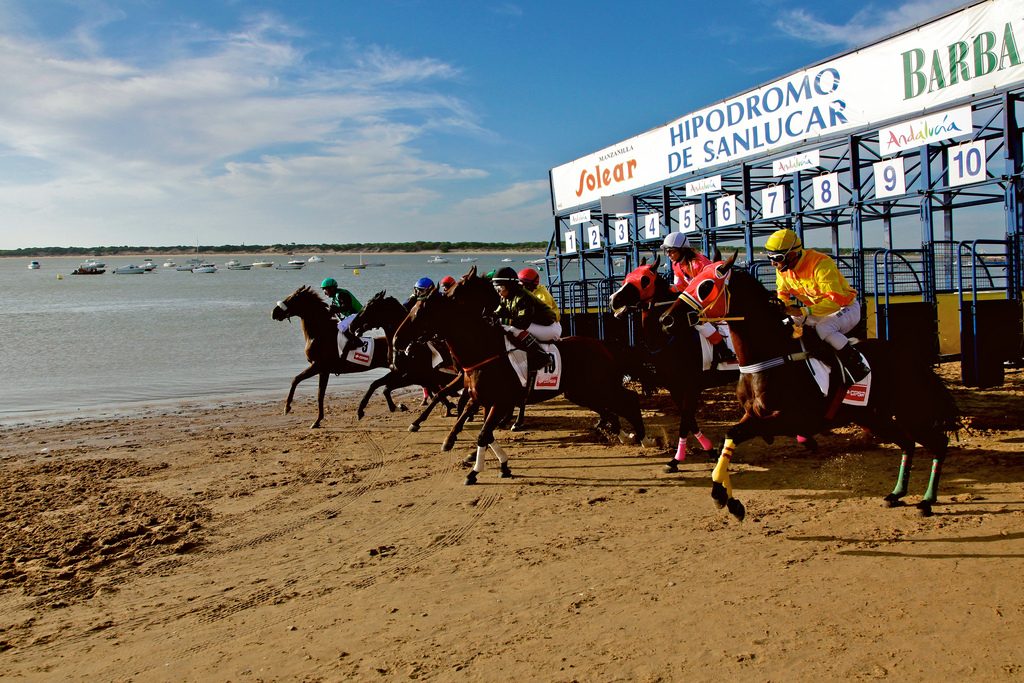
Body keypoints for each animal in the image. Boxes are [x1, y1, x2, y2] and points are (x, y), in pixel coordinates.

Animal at [346, 290, 462, 419]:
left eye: (368, 307)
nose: (351, 326)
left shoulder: (411, 376)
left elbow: (386, 388)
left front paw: (397, 407)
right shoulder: (398, 372)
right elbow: (376, 384)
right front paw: (361, 410)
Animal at [393, 274, 643, 483]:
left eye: (421, 312)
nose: (396, 339)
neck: (485, 350)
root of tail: (604, 346)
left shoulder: (501, 401)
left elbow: (483, 433)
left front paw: (475, 471)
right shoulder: (481, 398)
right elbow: (482, 429)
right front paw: (497, 463)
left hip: (598, 385)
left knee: (628, 399)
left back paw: (640, 436)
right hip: (582, 392)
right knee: (610, 409)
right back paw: (621, 433)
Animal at [610, 253, 741, 473]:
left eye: (644, 279)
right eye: (627, 276)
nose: (613, 299)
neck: (671, 339)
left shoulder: (691, 386)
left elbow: (685, 422)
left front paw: (676, 460)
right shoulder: (675, 387)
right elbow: (690, 422)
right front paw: (710, 451)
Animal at [663, 254, 958, 518]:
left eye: (705, 285)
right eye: (690, 280)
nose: (666, 319)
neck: (772, 357)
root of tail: (912, 359)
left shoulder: (793, 419)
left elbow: (734, 432)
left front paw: (725, 496)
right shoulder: (753, 415)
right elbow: (730, 434)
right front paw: (726, 497)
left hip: (911, 411)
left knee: (939, 443)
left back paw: (927, 501)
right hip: (876, 416)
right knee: (908, 444)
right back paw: (896, 494)